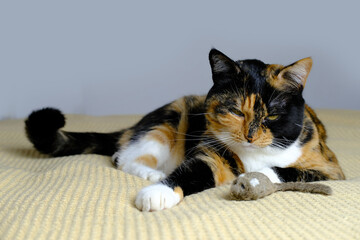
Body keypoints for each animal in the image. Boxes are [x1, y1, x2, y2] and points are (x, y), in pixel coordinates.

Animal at [25, 48, 346, 212]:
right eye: (236, 111)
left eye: (273, 115)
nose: (250, 136)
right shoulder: (211, 153)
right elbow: (193, 171)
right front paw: (157, 193)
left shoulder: (331, 169)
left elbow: (285, 170)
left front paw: (254, 177)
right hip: (168, 121)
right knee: (122, 157)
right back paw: (154, 174)